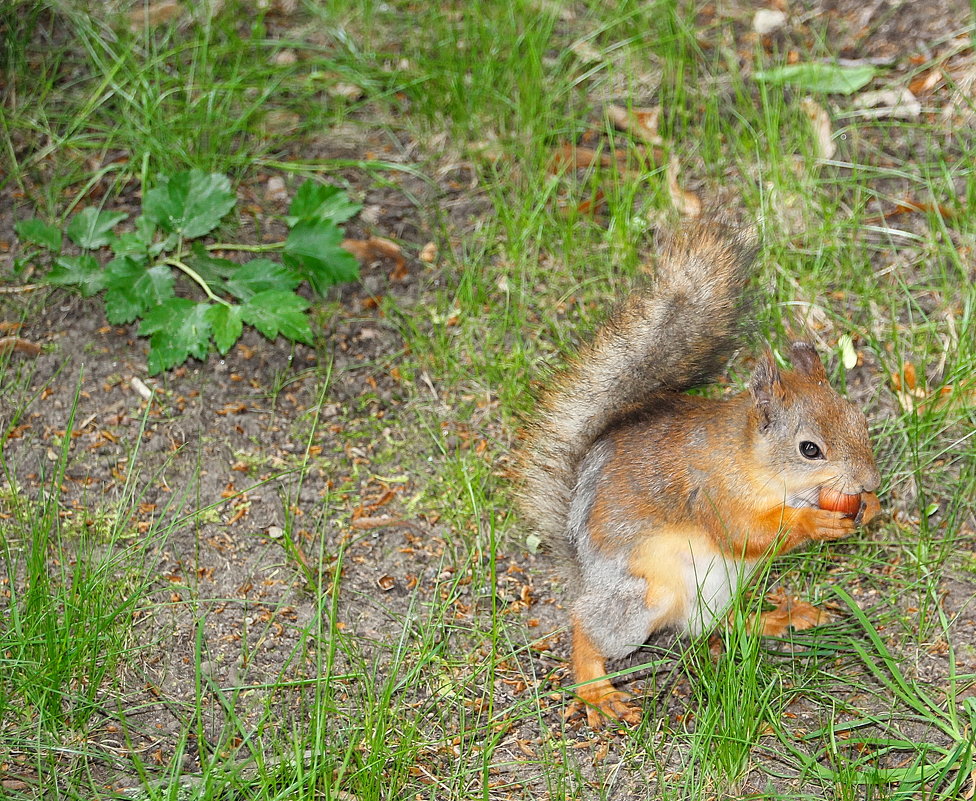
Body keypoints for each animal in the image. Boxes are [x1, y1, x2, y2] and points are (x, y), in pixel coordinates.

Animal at [520, 217, 884, 724]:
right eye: (809, 449)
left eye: (858, 419)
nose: (870, 481)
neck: (755, 463)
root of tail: (583, 570)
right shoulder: (711, 489)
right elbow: (744, 532)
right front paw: (814, 523)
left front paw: (870, 507)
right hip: (642, 596)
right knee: (588, 626)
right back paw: (595, 689)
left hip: (723, 589)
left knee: (724, 625)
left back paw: (779, 617)